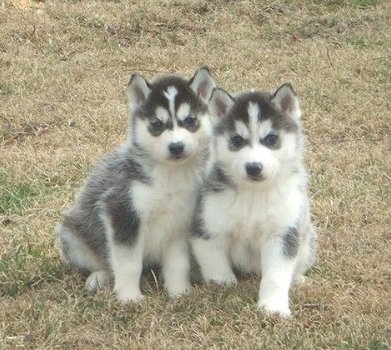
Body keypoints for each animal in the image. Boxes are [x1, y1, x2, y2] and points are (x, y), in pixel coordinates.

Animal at [56, 67, 216, 302]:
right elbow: (128, 264)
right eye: (157, 124)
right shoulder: (122, 213)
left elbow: (178, 263)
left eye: (189, 120)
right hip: (72, 235)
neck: (169, 177)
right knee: (103, 261)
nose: (176, 146)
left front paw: (179, 292)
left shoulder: (179, 223)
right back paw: (99, 278)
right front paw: (129, 298)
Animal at [193, 84, 318, 318]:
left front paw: (273, 307)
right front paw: (223, 284)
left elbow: (277, 275)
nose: (253, 167)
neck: (253, 193)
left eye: (270, 139)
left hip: (306, 239)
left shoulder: (282, 234)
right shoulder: (208, 228)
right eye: (237, 140)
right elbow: (214, 262)